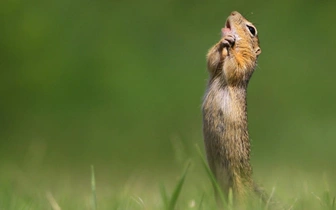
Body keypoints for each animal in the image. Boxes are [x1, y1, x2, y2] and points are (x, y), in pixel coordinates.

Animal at [202, 11, 266, 203]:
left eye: (252, 30)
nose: (233, 12)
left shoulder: (245, 63)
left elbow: (235, 68)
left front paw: (230, 44)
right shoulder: (215, 67)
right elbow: (212, 60)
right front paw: (223, 42)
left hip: (240, 187)